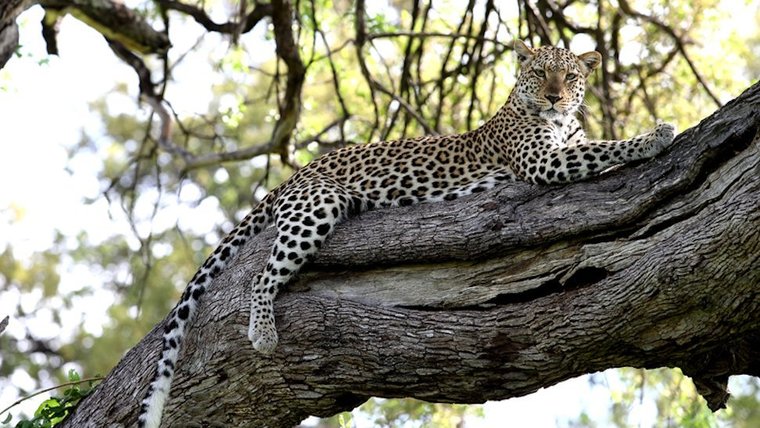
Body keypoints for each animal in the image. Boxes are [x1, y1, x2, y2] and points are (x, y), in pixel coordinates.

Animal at [138, 39, 676, 424]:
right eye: (541, 73)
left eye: (571, 75)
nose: (555, 97)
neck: (558, 124)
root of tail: (294, 174)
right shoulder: (543, 162)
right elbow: (605, 148)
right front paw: (655, 136)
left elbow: (597, 145)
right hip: (317, 204)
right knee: (260, 276)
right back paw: (264, 334)